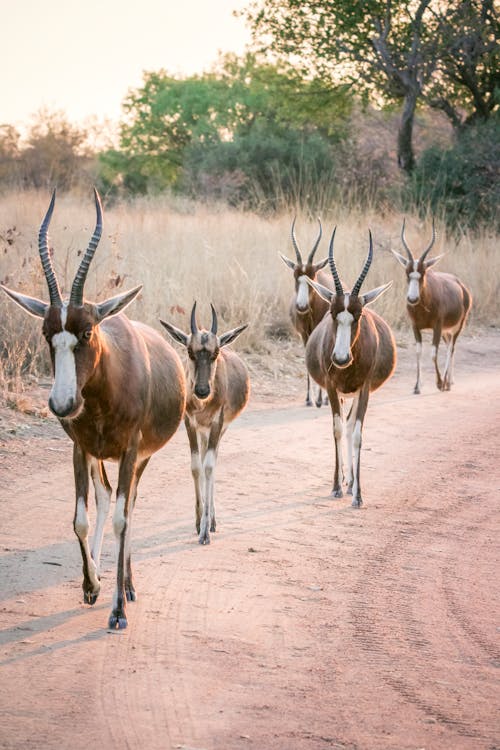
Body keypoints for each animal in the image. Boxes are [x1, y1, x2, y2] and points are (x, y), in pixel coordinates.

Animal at [0, 191, 187, 632]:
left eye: (86, 332)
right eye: (48, 333)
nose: (62, 403)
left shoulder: (131, 450)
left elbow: (122, 517)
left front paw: (117, 611)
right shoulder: (80, 448)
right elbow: (80, 519)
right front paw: (91, 586)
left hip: (138, 459)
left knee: (129, 504)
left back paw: (129, 588)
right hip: (102, 456)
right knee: (106, 497)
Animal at [161, 304, 249, 548]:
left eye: (215, 353)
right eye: (190, 352)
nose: (201, 391)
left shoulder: (217, 423)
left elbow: (209, 466)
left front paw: (205, 532)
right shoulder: (190, 424)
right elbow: (196, 467)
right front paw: (199, 520)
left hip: (218, 430)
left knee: (213, 460)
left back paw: (213, 522)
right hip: (203, 431)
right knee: (202, 458)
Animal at [280, 217, 334, 408]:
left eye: (312, 277)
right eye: (295, 276)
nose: (301, 306)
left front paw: (318, 399)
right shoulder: (304, 335)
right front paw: (309, 399)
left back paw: (325, 399)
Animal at [302, 228, 396, 512]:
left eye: (359, 314)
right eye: (334, 314)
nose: (341, 358)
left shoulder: (364, 389)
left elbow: (356, 434)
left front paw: (358, 495)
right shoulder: (332, 388)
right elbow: (337, 429)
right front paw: (335, 487)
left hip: (354, 394)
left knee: (352, 422)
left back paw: (352, 481)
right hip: (343, 394)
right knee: (344, 423)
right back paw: (345, 480)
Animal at [392, 219, 470, 394]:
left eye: (423, 273)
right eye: (407, 273)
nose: (412, 299)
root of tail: (461, 285)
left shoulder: (437, 327)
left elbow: (433, 354)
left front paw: (439, 383)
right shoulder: (415, 327)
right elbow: (418, 352)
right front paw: (417, 387)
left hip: (457, 326)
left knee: (451, 348)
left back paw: (446, 384)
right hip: (446, 331)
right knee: (449, 346)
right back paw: (450, 381)